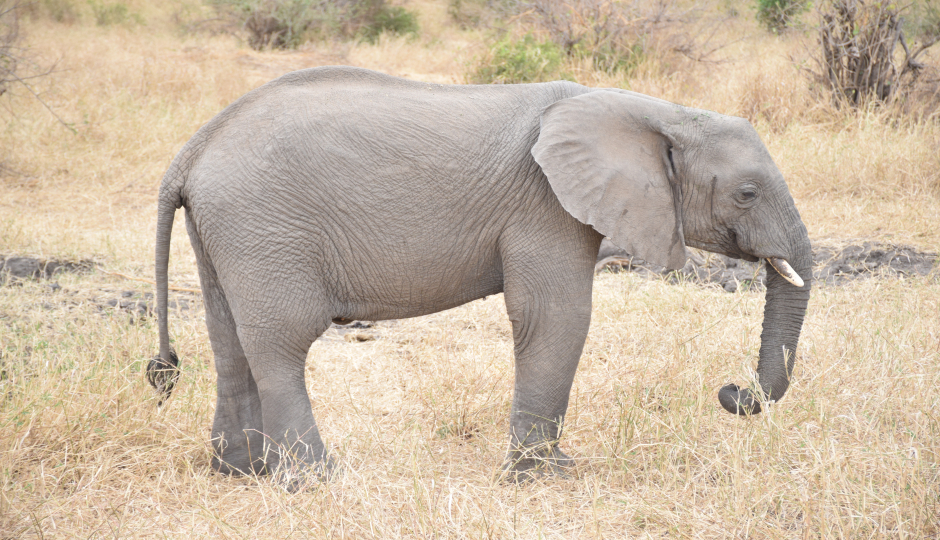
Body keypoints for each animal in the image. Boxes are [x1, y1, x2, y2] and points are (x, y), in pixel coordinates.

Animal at [147, 65, 808, 484]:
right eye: (747, 193)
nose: (730, 391)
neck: (652, 109)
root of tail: (193, 149)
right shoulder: (545, 205)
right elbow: (556, 317)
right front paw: (545, 478)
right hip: (262, 225)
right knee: (282, 343)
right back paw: (315, 481)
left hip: (229, 229)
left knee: (229, 338)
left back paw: (241, 472)